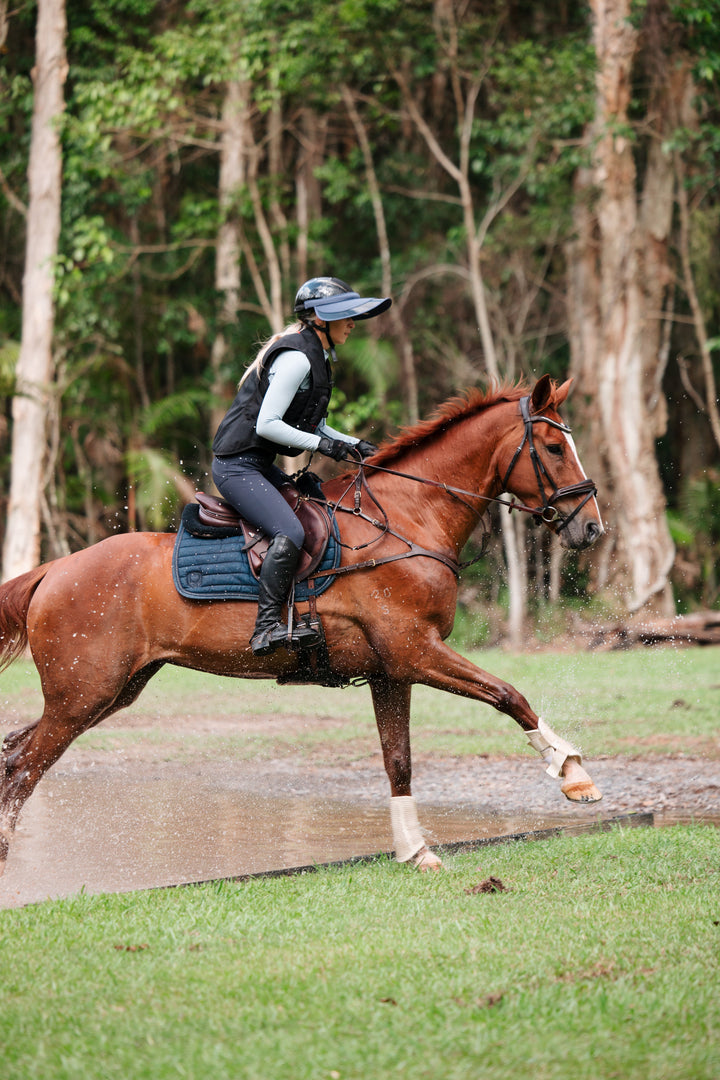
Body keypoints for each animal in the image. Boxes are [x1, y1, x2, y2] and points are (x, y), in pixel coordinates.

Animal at [0, 375, 603, 876]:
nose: (593, 529)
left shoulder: (391, 671)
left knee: (15, 756)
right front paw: (572, 772)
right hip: (82, 695)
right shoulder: (415, 651)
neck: (407, 519)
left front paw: (415, 851)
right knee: (24, 769)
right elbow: (508, 694)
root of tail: (55, 569)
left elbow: (399, 761)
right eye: (554, 448)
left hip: (109, 692)